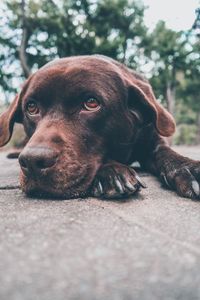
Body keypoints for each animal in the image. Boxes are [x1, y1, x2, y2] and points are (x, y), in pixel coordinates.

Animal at [0, 54, 200, 199]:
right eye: (31, 107)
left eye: (91, 103)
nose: (33, 161)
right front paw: (112, 172)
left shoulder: (152, 139)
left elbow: (166, 153)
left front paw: (188, 167)